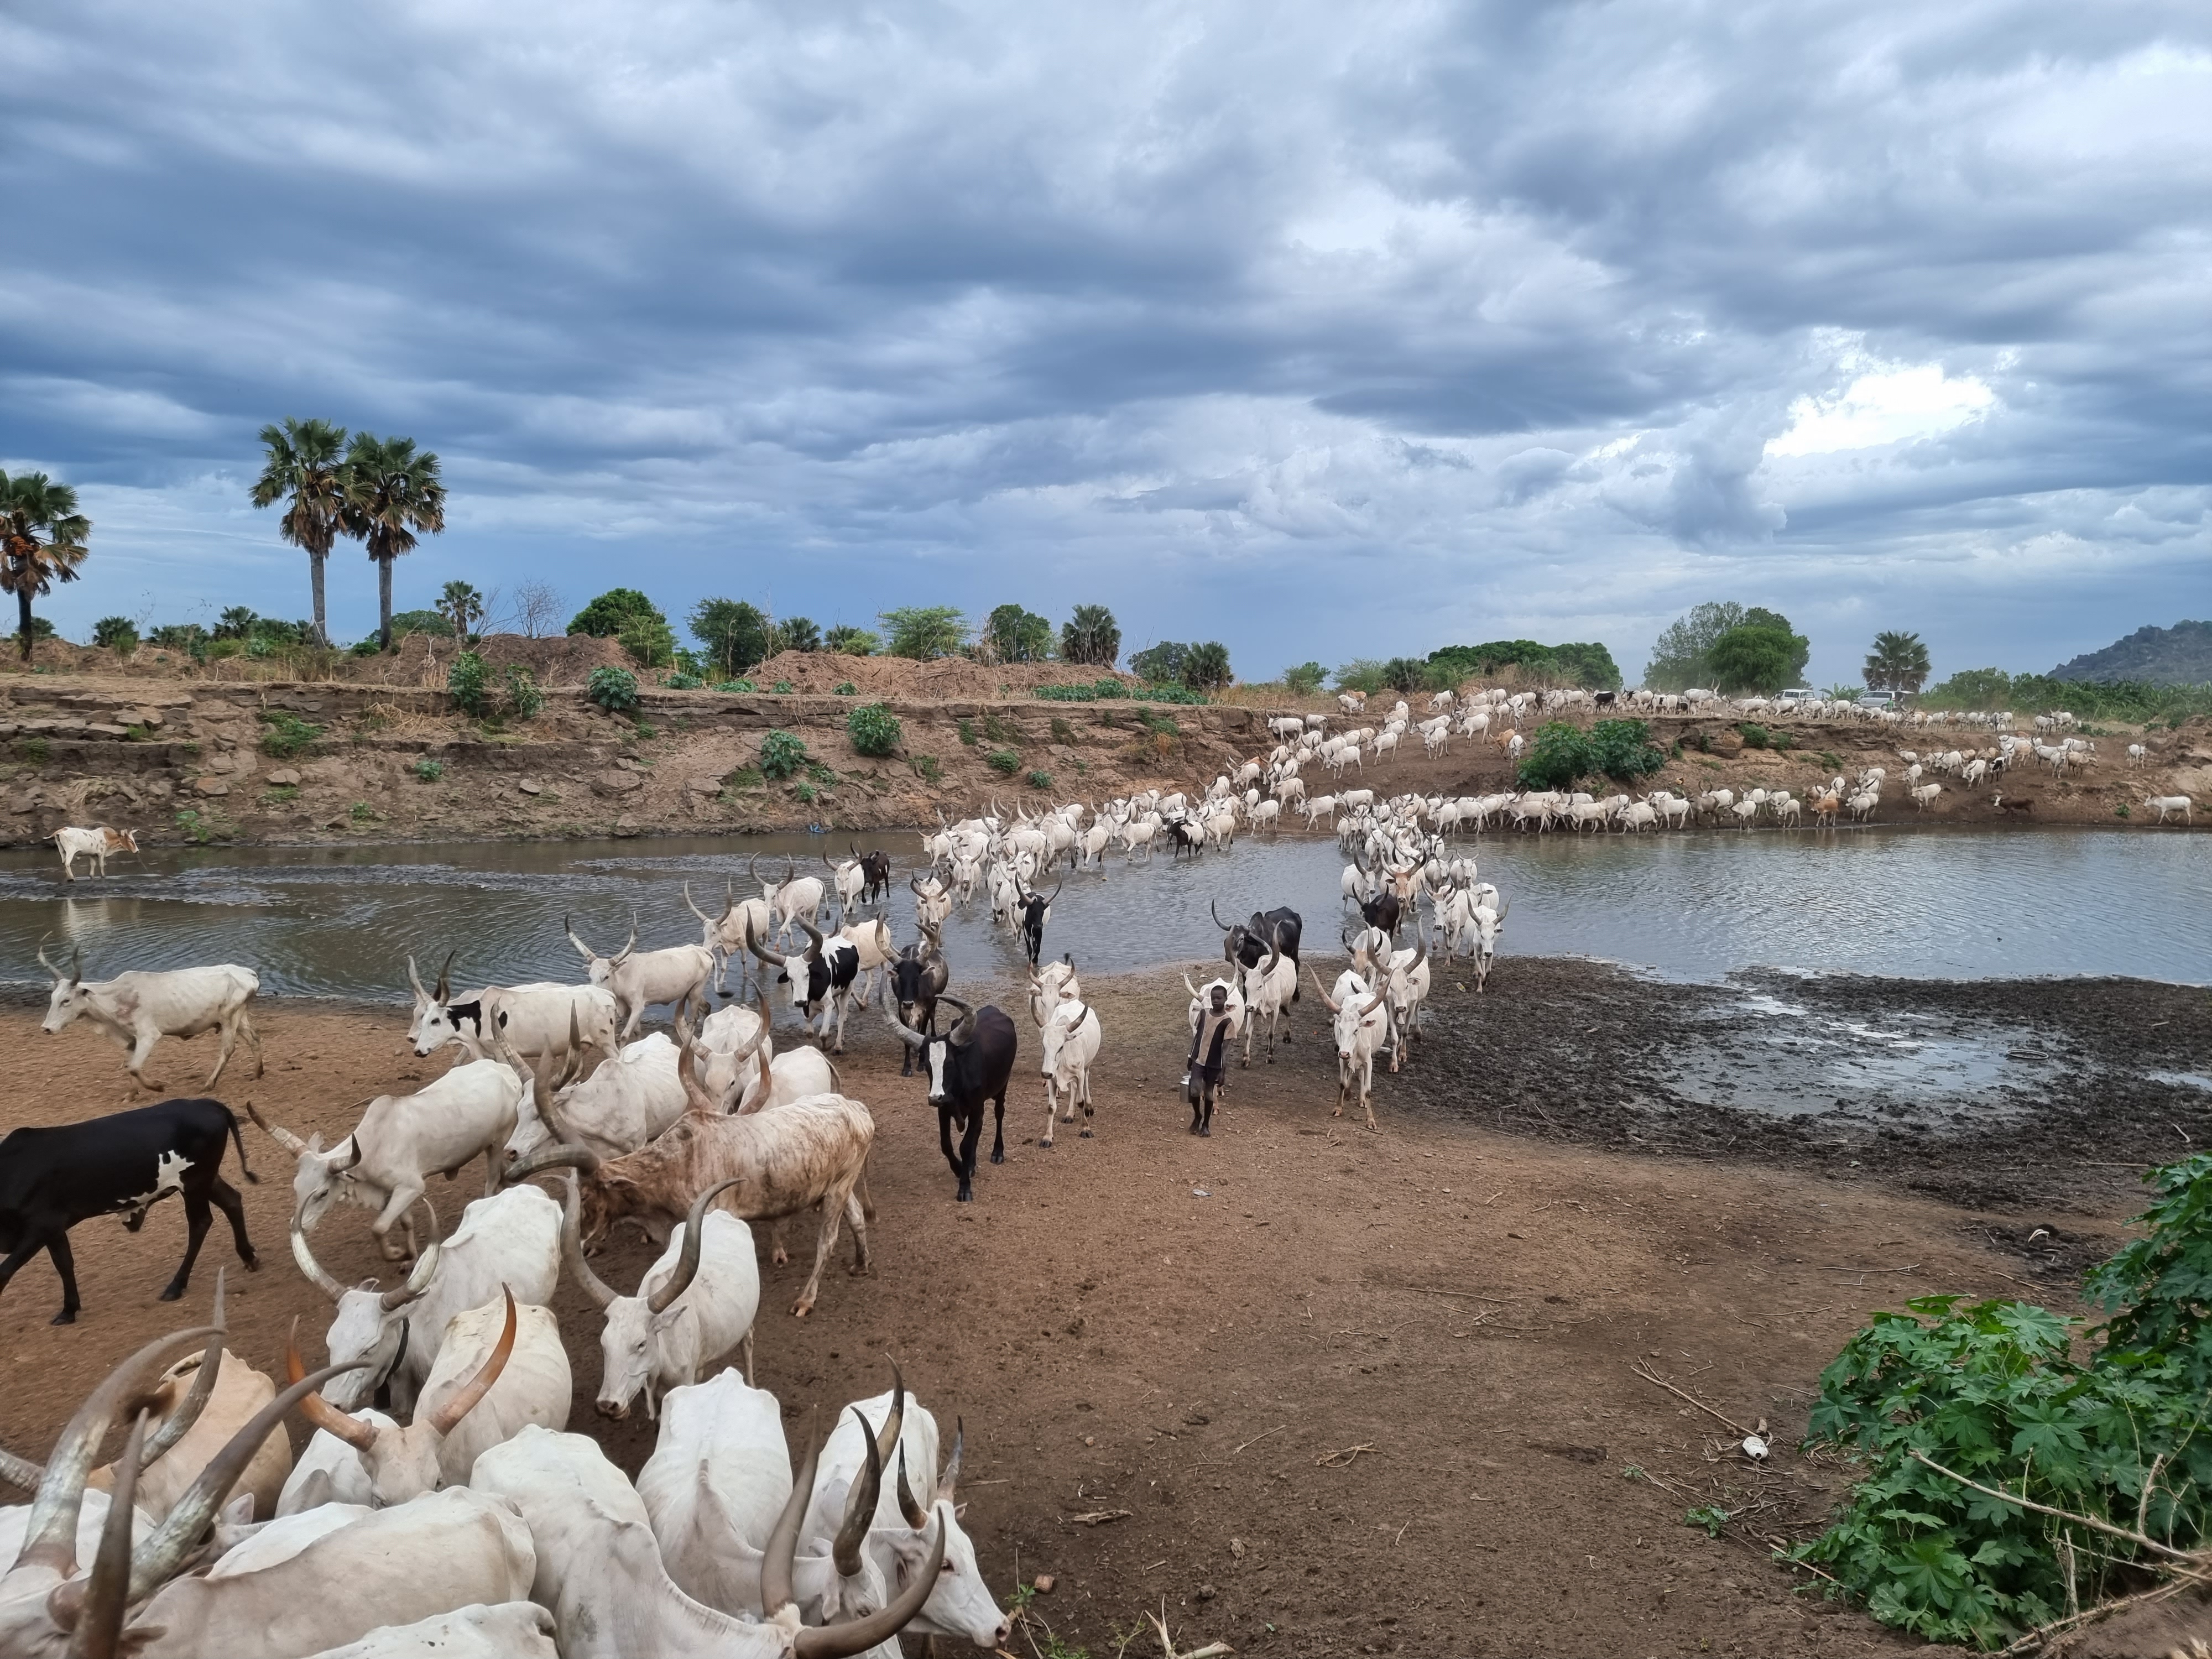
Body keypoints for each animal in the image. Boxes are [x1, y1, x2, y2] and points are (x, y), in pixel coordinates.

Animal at [0, 1097, 261, 1336]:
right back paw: (249, 1257)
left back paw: (176, 1286)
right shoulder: (55, 1230)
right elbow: (64, 1264)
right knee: (232, 1202)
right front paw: (69, 1310)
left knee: (200, 1224)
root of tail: (204, 1102)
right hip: (207, 1181)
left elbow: (6, 1271)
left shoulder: (42, 1227)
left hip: (194, 1185)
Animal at [39, 942, 263, 1097]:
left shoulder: (149, 1036)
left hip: (229, 1018)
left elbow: (135, 1068)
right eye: (52, 998)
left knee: (228, 1049)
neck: (115, 999)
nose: (47, 1028)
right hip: (239, 1017)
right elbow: (130, 1067)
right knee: (255, 1039)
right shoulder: (130, 1039)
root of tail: (248, 973)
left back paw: (209, 1083)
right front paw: (131, 1095)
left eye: (66, 1000)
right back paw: (257, 1073)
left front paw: (157, 1087)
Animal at [51, 827, 138, 885]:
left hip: (62, 851)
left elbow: (92, 867)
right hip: (70, 852)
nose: (137, 851)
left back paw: (69, 878)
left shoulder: (91, 855)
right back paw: (72, 878)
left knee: (63, 863)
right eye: (130, 841)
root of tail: (61, 831)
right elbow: (102, 866)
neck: (107, 837)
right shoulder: (101, 854)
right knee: (67, 863)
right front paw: (103, 876)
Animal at [885, 995, 1013, 1203]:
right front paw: (961, 1169)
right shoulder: (943, 1110)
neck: (958, 1087)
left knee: (999, 1113)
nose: (935, 1098)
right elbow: (947, 1145)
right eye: (928, 1065)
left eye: (951, 1063)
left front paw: (965, 1188)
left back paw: (997, 1152)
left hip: (1003, 1086)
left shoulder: (976, 1108)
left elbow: (965, 1146)